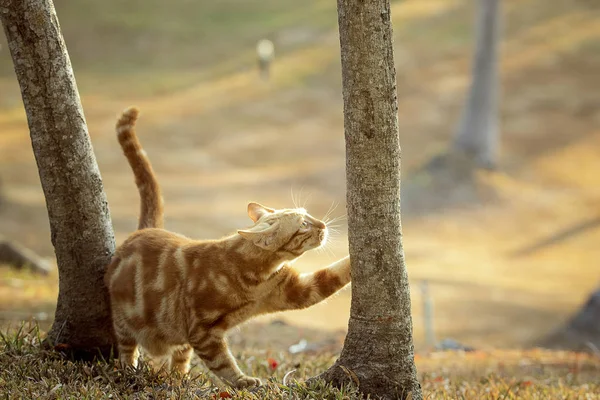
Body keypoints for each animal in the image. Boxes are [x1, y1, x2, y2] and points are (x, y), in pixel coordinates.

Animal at [105, 106, 352, 388]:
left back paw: (178, 380)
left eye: (308, 214)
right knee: (127, 349)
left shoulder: (297, 290)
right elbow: (224, 364)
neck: (257, 277)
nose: (323, 224)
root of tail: (142, 230)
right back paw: (130, 372)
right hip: (125, 323)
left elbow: (333, 274)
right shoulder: (203, 331)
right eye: (303, 224)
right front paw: (245, 382)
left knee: (179, 358)